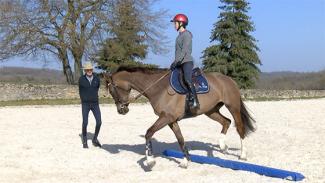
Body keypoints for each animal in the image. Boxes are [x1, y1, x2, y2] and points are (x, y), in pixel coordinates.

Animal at [102, 66, 254, 169]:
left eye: (112, 90)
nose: (121, 110)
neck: (158, 88)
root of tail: (229, 79)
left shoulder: (166, 118)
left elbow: (148, 133)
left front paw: (150, 161)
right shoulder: (171, 120)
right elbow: (180, 139)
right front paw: (185, 161)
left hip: (233, 107)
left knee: (239, 127)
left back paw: (243, 155)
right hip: (211, 111)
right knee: (226, 122)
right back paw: (222, 146)